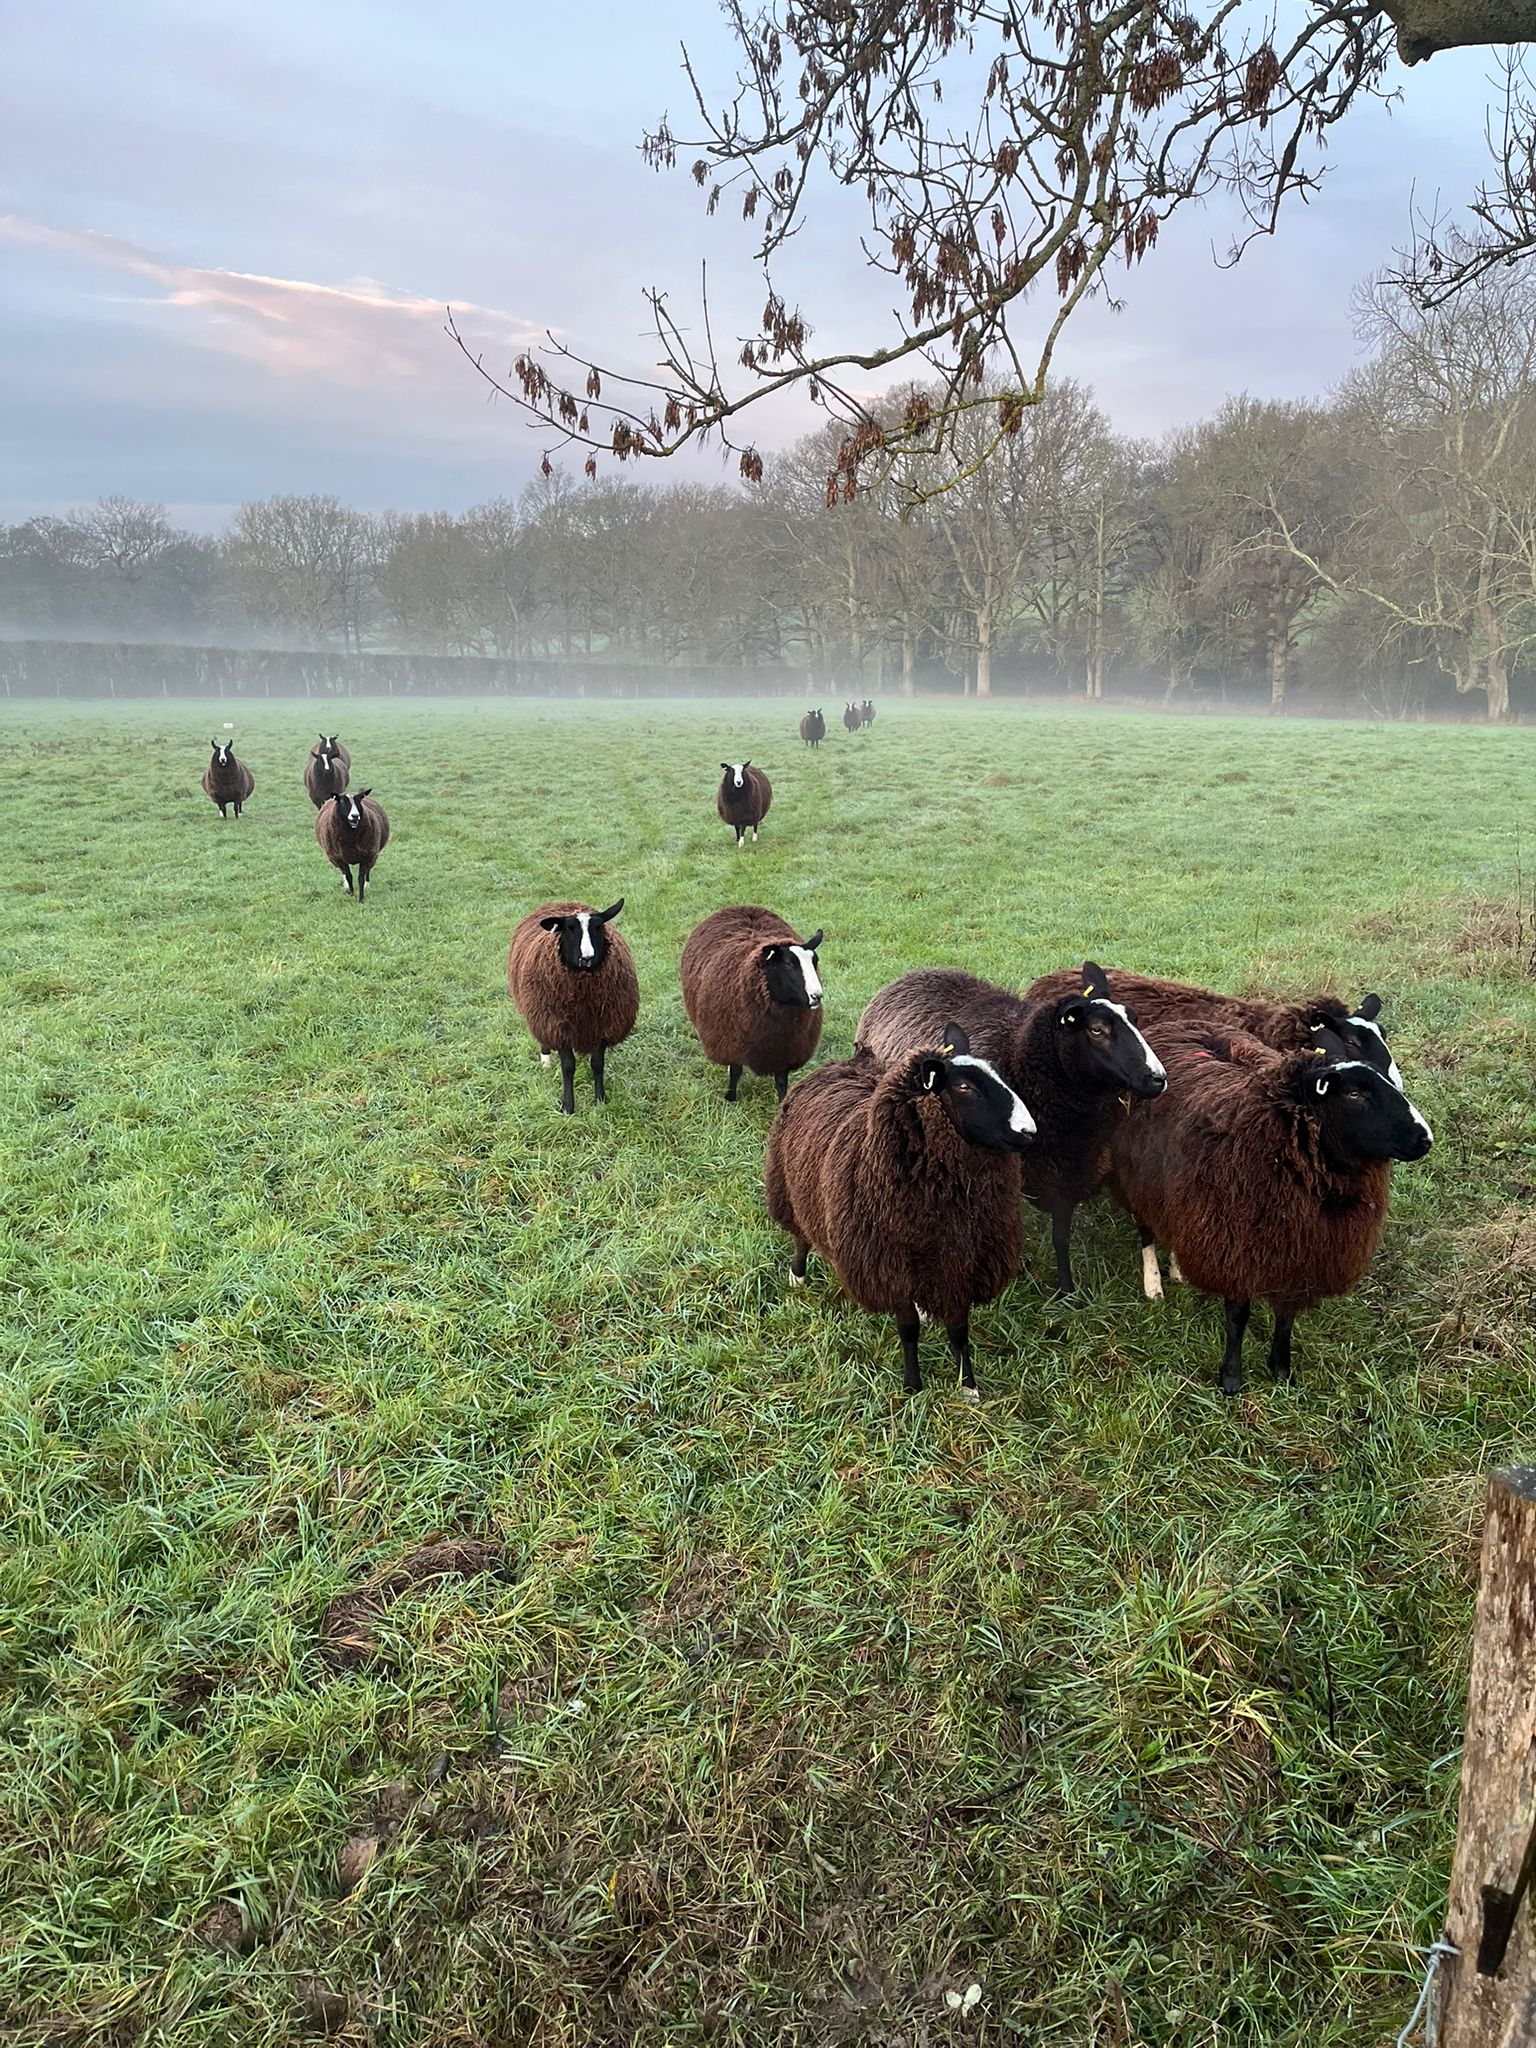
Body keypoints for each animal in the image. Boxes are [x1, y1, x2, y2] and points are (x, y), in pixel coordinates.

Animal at [507, 899, 639, 1113]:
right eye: (569, 929)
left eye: (598, 927)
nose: (587, 958)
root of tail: (562, 902)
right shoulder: (559, 1028)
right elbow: (568, 1067)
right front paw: (568, 1106)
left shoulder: (602, 1026)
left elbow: (597, 1064)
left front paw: (600, 1099)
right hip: (540, 1015)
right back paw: (545, 1060)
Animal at [680, 906, 824, 1103]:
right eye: (788, 963)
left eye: (815, 961)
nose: (817, 996)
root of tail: (741, 906)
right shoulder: (730, 1043)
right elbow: (735, 1072)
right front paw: (730, 1098)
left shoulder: (785, 1052)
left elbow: (781, 1082)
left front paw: (782, 1103)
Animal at [764, 1024, 1036, 1397]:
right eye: (963, 1087)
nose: (1029, 1132)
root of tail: (845, 1063)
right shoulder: (889, 1265)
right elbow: (908, 1330)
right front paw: (913, 1386)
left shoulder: (961, 1262)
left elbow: (959, 1329)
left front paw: (968, 1386)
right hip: (791, 1191)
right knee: (801, 1237)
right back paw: (797, 1275)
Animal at [856, 961, 1166, 1297]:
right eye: (1097, 1030)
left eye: (1134, 1018)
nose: (1157, 1078)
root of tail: (914, 973)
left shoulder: (1069, 1171)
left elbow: (1063, 1236)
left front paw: (1071, 1292)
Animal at [1110, 1023, 1433, 1394]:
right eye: (1354, 1094)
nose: (1425, 1139)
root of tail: (1176, 1025)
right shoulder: (1235, 1243)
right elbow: (1237, 1316)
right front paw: (1231, 1378)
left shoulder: (1297, 1250)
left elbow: (1286, 1314)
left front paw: (1281, 1369)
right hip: (1139, 1180)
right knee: (1146, 1231)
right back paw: (1154, 1285)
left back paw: (1179, 1269)